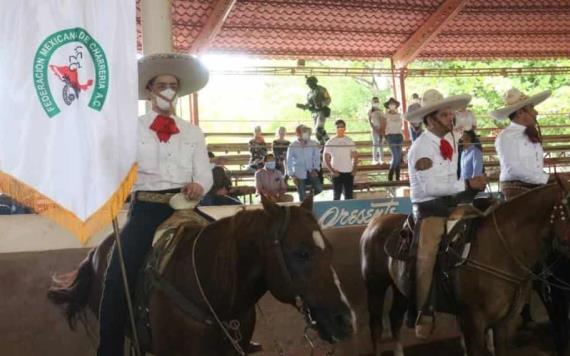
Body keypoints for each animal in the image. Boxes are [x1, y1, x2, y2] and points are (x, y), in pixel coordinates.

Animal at [362, 184, 568, 356]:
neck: (499, 250)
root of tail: (375, 222)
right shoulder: (473, 322)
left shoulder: (502, 323)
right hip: (375, 286)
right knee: (376, 326)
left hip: (400, 290)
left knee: (395, 318)